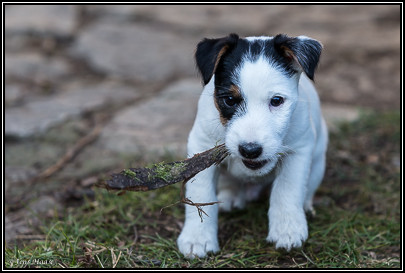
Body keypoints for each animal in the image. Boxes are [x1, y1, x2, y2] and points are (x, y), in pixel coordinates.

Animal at [177, 33, 328, 258]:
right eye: (230, 100)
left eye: (277, 100)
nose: (250, 150)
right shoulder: (200, 146)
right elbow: (200, 192)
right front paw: (197, 238)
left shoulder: (299, 150)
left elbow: (287, 189)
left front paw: (287, 230)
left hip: (318, 160)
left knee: (307, 189)